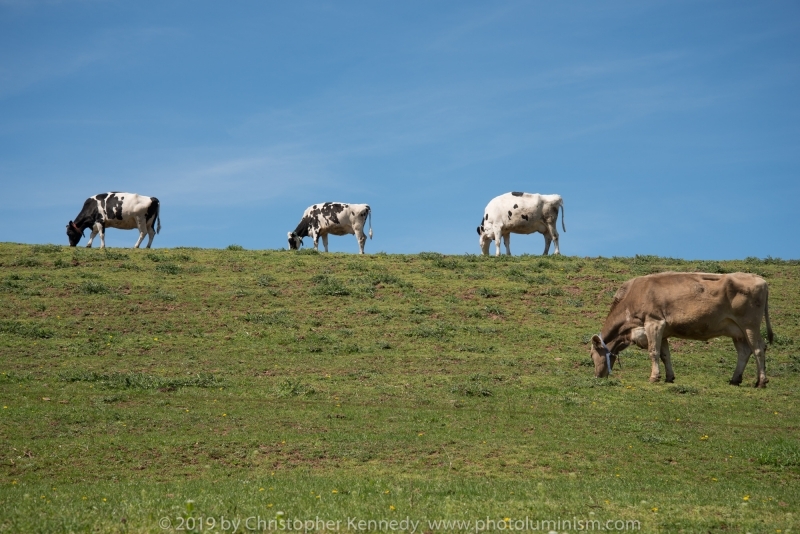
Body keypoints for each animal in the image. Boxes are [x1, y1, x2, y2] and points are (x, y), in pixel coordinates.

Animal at [588, 274, 776, 388]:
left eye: (591, 354)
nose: (597, 376)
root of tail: (760, 279)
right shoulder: (663, 331)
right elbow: (665, 354)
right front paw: (669, 377)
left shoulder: (654, 322)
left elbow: (653, 352)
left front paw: (653, 377)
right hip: (737, 331)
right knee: (744, 352)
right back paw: (735, 379)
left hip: (750, 325)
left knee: (758, 348)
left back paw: (761, 382)